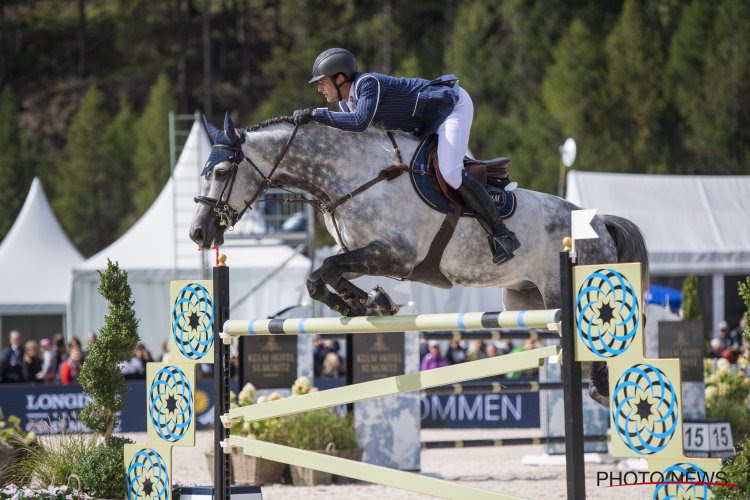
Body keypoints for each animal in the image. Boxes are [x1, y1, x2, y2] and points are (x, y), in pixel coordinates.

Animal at [191, 116, 648, 406]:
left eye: (223, 171)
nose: (198, 233)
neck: (352, 177)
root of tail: (599, 220)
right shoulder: (366, 252)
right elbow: (323, 276)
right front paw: (365, 303)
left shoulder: (397, 256)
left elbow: (326, 270)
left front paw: (367, 302)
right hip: (524, 301)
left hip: (564, 292)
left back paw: (603, 388)